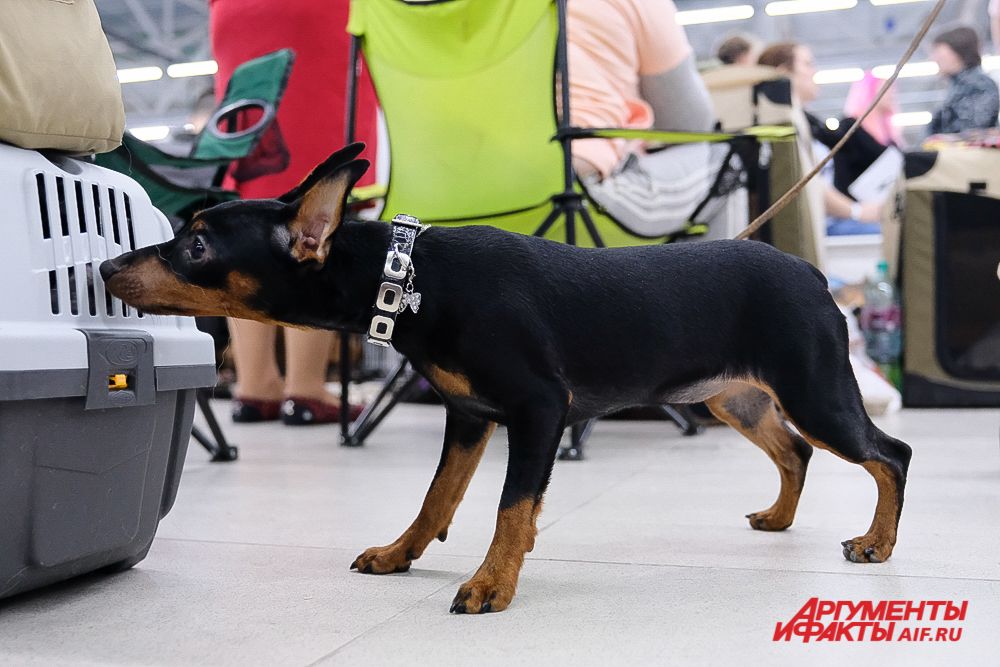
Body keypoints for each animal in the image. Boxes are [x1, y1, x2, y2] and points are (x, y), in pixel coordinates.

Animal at [101, 146, 916, 616]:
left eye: (196, 245)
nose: (107, 267)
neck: (411, 279)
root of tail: (813, 276)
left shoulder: (538, 410)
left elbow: (510, 508)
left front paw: (493, 583)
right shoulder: (470, 415)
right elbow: (438, 498)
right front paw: (401, 554)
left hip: (813, 392)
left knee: (890, 454)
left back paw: (877, 544)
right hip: (735, 397)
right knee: (796, 451)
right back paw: (780, 519)